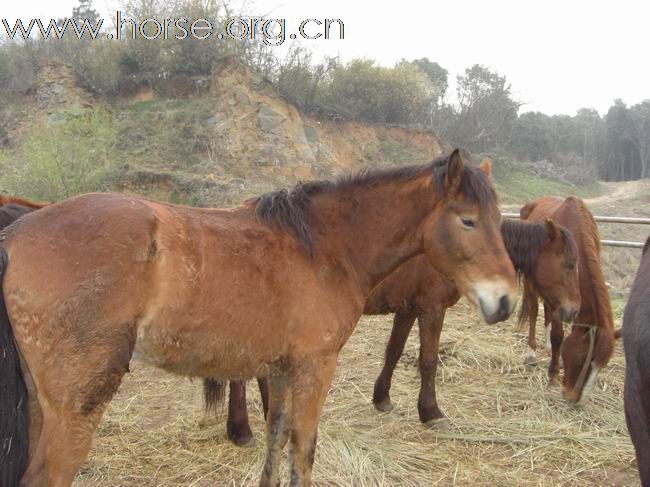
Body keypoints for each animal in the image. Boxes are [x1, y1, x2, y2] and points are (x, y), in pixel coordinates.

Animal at [0, 152, 516, 487]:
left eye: (497, 220)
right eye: (467, 220)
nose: (505, 300)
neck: (324, 247)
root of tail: (17, 233)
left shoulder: (282, 371)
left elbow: (276, 439)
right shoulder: (315, 367)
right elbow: (303, 449)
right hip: (76, 409)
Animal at [208, 215, 576, 444]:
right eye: (570, 263)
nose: (572, 311)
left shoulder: (408, 310)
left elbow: (395, 351)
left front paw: (381, 397)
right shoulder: (431, 311)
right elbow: (428, 361)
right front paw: (431, 412)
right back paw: (240, 430)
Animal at [516, 196, 612, 406]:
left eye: (602, 366)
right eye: (586, 360)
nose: (576, 401)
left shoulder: (559, 297)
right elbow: (558, 335)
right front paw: (552, 375)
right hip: (531, 283)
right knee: (534, 309)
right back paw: (531, 353)